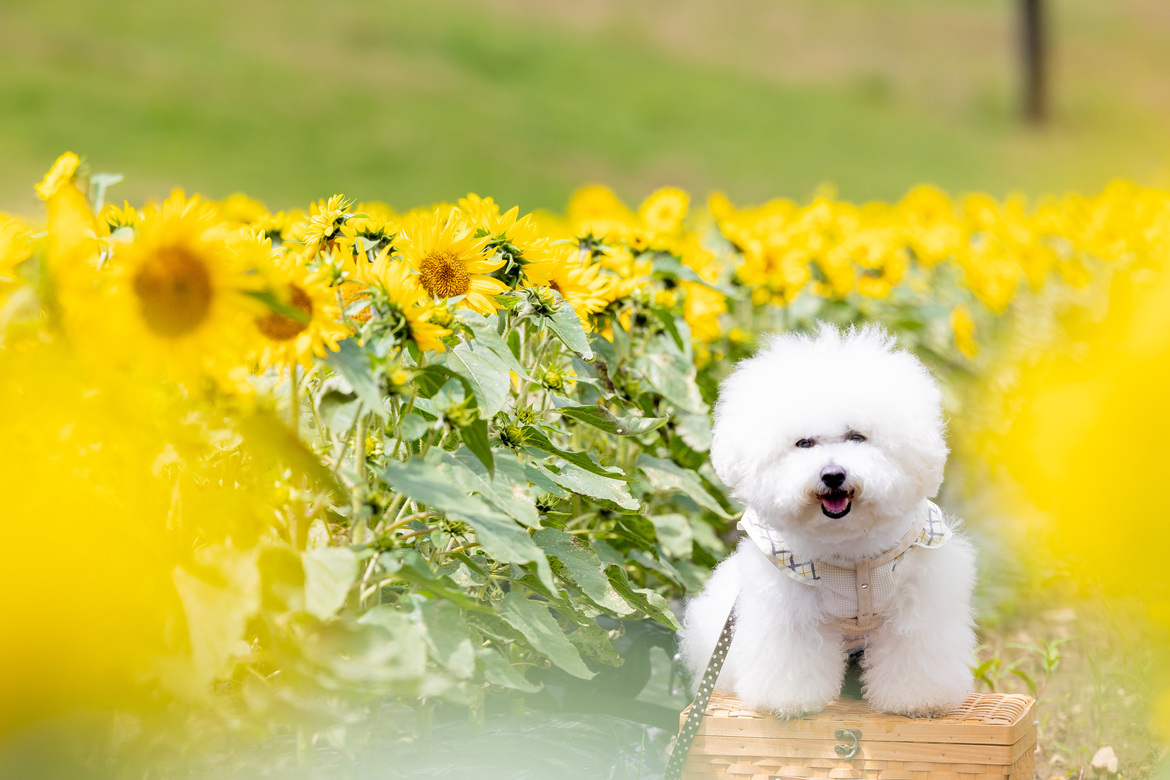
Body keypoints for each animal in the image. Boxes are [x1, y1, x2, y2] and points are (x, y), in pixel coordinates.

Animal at [683, 325, 973, 720]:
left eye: (857, 436)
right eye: (804, 442)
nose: (833, 475)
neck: (848, 547)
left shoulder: (920, 596)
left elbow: (914, 647)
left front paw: (917, 700)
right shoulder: (787, 607)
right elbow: (792, 654)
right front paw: (789, 703)